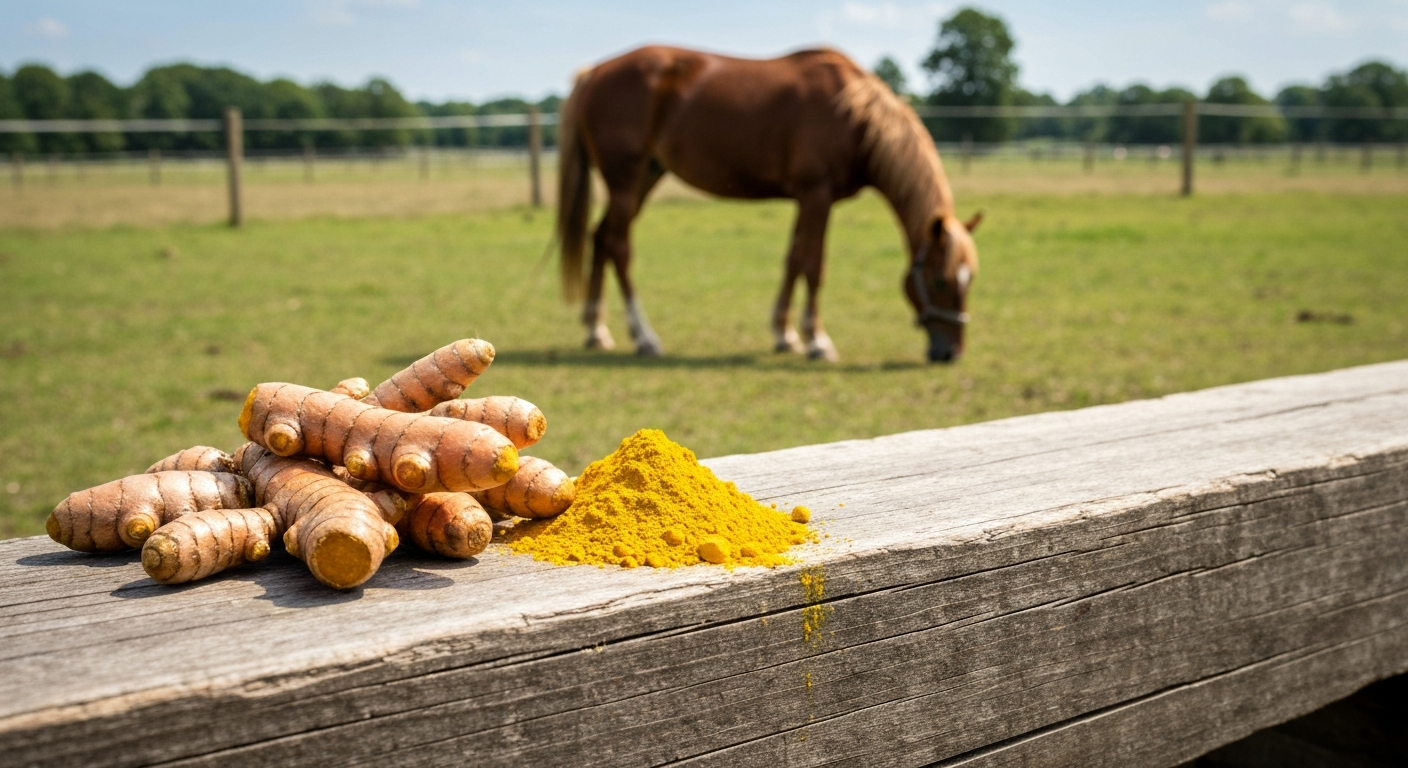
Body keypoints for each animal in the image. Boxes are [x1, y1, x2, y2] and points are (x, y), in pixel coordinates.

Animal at [555, 45, 982, 363]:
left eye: (970, 278)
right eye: (940, 280)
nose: (952, 353)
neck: (854, 114)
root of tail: (594, 72)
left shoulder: (805, 200)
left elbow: (793, 260)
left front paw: (785, 334)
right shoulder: (817, 195)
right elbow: (813, 265)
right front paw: (817, 341)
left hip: (646, 177)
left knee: (601, 238)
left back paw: (596, 329)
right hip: (626, 180)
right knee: (618, 245)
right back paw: (644, 337)